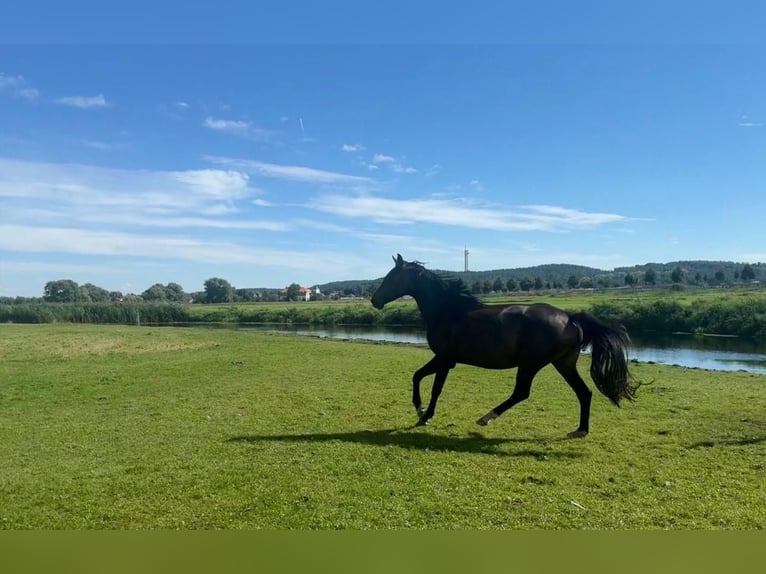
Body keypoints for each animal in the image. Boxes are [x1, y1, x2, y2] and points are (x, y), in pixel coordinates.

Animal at [370, 254, 637, 438]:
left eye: (391, 277)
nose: (374, 300)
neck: (448, 311)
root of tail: (570, 317)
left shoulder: (445, 359)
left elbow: (436, 388)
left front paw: (425, 416)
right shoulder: (444, 359)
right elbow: (417, 376)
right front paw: (419, 410)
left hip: (531, 364)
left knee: (522, 392)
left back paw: (485, 418)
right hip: (563, 364)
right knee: (584, 392)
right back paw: (580, 430)